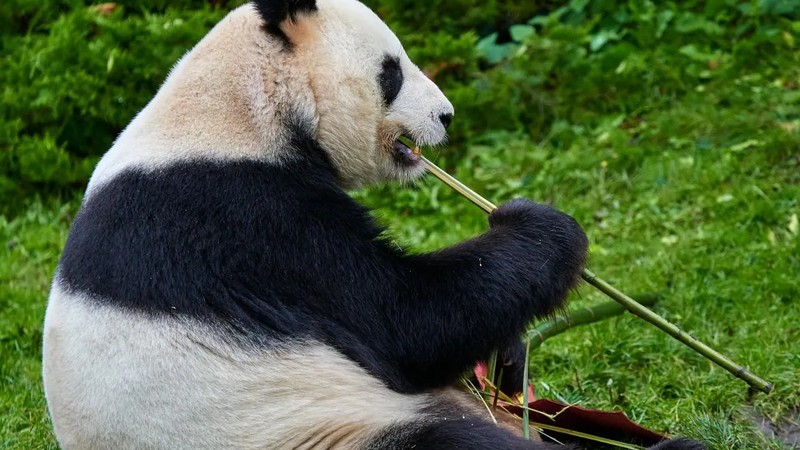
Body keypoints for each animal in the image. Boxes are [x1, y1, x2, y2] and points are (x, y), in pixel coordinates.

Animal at [42, 0, 704, 449]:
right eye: (393, 71)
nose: (446, 116)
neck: (236, 107)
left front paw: (510, 357)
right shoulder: (243, 220)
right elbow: (405, 321)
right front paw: (541, 228)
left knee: (568, 425)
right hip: (316, 428)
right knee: (450, 442)